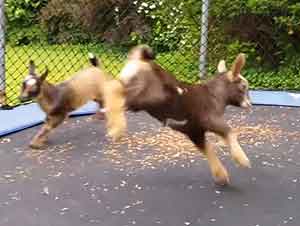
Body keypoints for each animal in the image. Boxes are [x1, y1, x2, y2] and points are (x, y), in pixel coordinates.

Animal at [118, 45, 252, 185]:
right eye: (243, 86)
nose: (249, 104)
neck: (215, 96)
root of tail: (139, 60)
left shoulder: (194, 131)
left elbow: (208, 149)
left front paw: (221, 177)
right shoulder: (209, 119)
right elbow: (230, 131)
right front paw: (242, 160)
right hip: (142, 96)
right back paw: (117, 128)